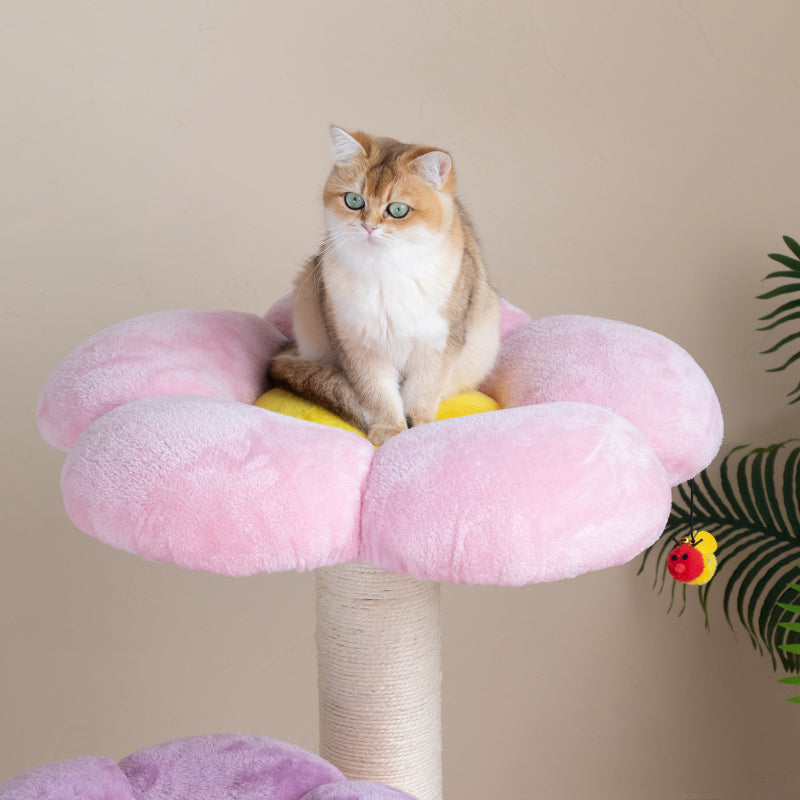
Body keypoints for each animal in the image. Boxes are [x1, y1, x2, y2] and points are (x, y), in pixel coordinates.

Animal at [272, 128, 504, 446]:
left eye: (397, 209)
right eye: (354, 200)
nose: (369, 227)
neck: (383, 273)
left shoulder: (438, 344)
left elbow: (422, 393)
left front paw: (419, 428)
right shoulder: (357, 346)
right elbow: (377, 395)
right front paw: (389, 431)